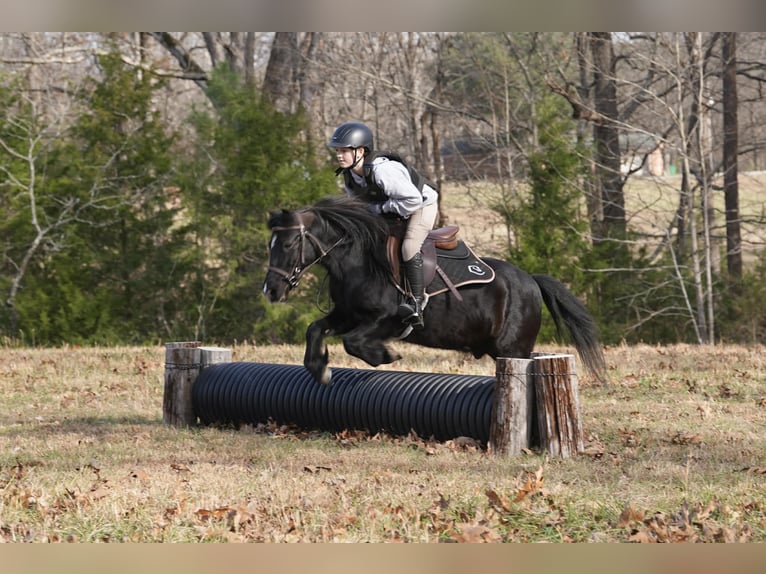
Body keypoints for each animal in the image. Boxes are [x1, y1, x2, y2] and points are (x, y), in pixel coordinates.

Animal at [262, 195, 606, 386]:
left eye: (289, 244)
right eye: (271, 244)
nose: (271, 291)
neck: (357, 260)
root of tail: (531, 280)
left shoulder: (386, 320)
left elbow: (354, 342)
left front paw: (386, 355)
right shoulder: (347, 314)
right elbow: (315, 329)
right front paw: (320, 370)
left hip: (511, 347)